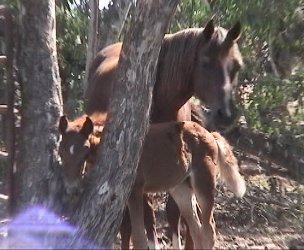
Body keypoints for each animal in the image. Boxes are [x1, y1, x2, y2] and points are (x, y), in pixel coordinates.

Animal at [58, 114, 246, 249]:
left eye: (85, 151)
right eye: (61, 152)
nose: (71, 188)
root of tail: (210, 134)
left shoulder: (135, 190)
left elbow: (138, 238)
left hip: (203, 183)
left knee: (208, 230)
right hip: (181, 188)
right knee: (196, 229)